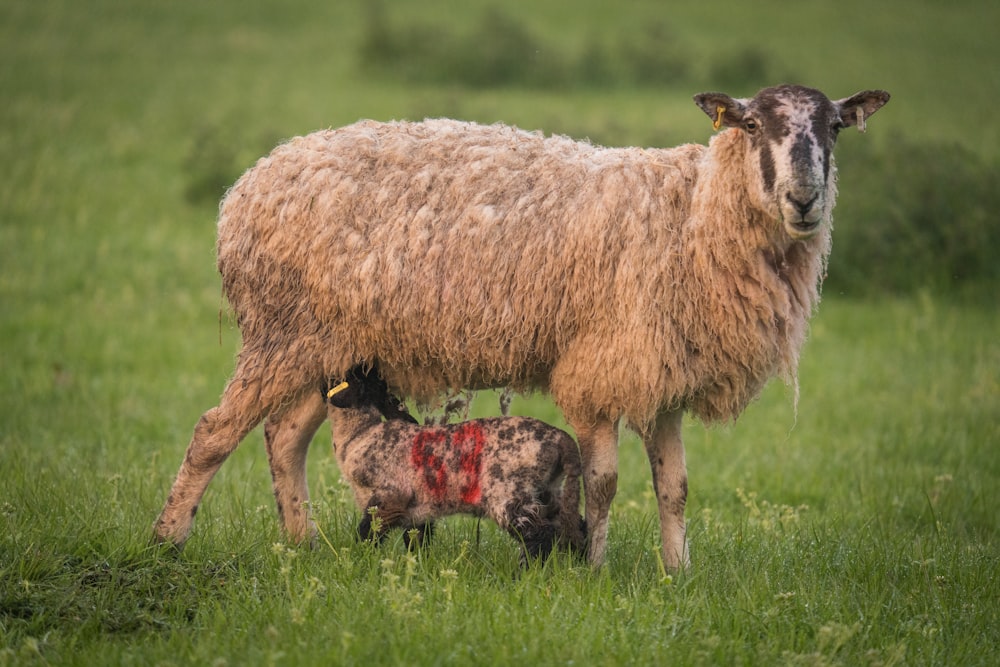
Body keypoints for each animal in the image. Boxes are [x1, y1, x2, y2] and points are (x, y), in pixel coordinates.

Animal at [324, 366, 584, 564]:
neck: (360, 434)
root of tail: (562, 439)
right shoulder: (419, 510)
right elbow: (417, 540)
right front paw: (418, 566)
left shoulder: (390, 497)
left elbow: (368, 533)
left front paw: (359, 559)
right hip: (549, 491)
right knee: (574, 525)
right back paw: (576, 565)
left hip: (509, 493)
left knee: (540, 534)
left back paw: (525, 572)